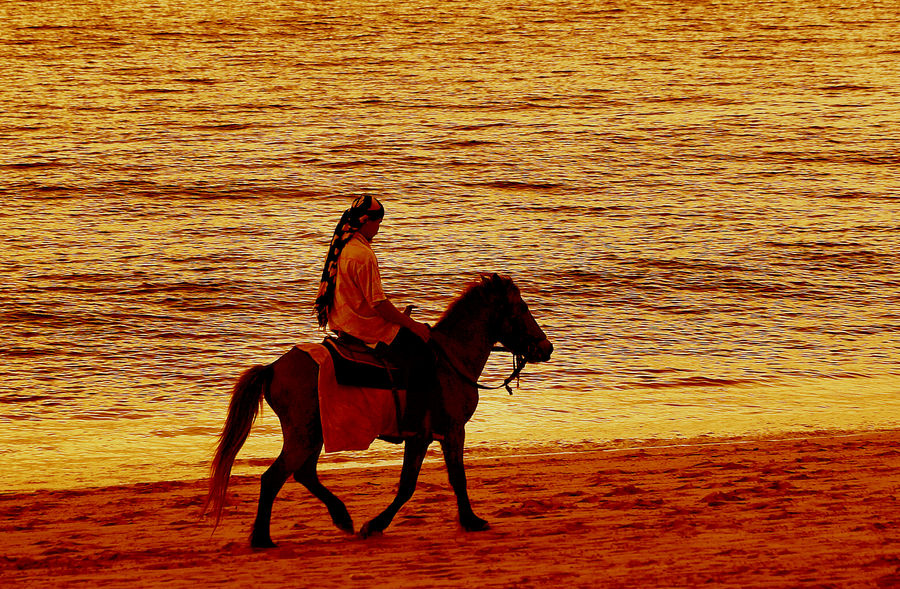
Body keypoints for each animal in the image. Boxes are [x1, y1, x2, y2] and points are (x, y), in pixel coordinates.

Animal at [207, 272, 552, 548]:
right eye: (522, 308)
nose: (545, 347)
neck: (451, 358)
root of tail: (273, 369)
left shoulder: (427, 435)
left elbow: (421, 482)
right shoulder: (447, 431)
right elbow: (437, 481)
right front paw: (468, 520)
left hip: (313, 434)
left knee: (303, 473)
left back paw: (341, 517)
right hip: (303, 436)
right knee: (273, 478)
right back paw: (263, 539)